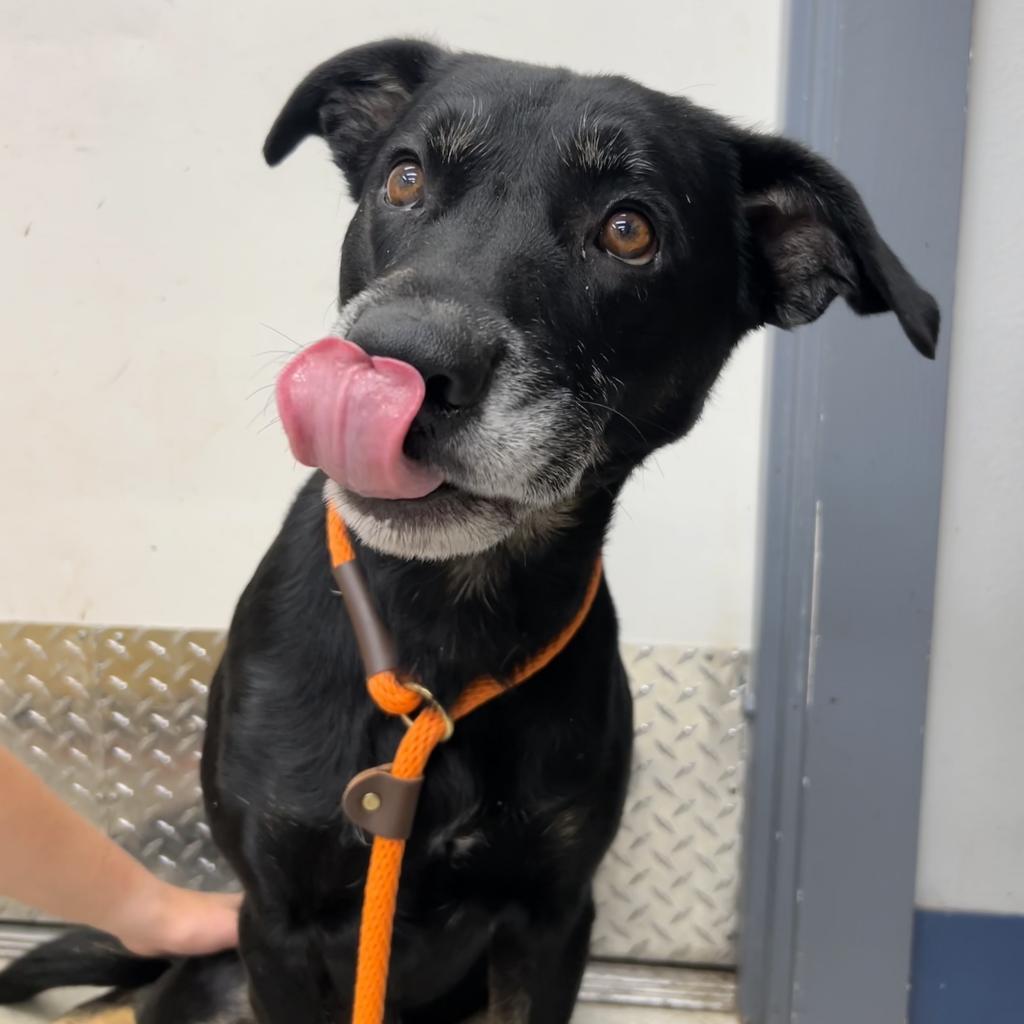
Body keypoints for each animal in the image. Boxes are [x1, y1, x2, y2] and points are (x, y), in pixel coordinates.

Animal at [0, 36, 937, 1019]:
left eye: (629, 230)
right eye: (405, 178)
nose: (401, 360)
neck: (439, 634)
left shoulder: (553, 918)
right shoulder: (274, 920)